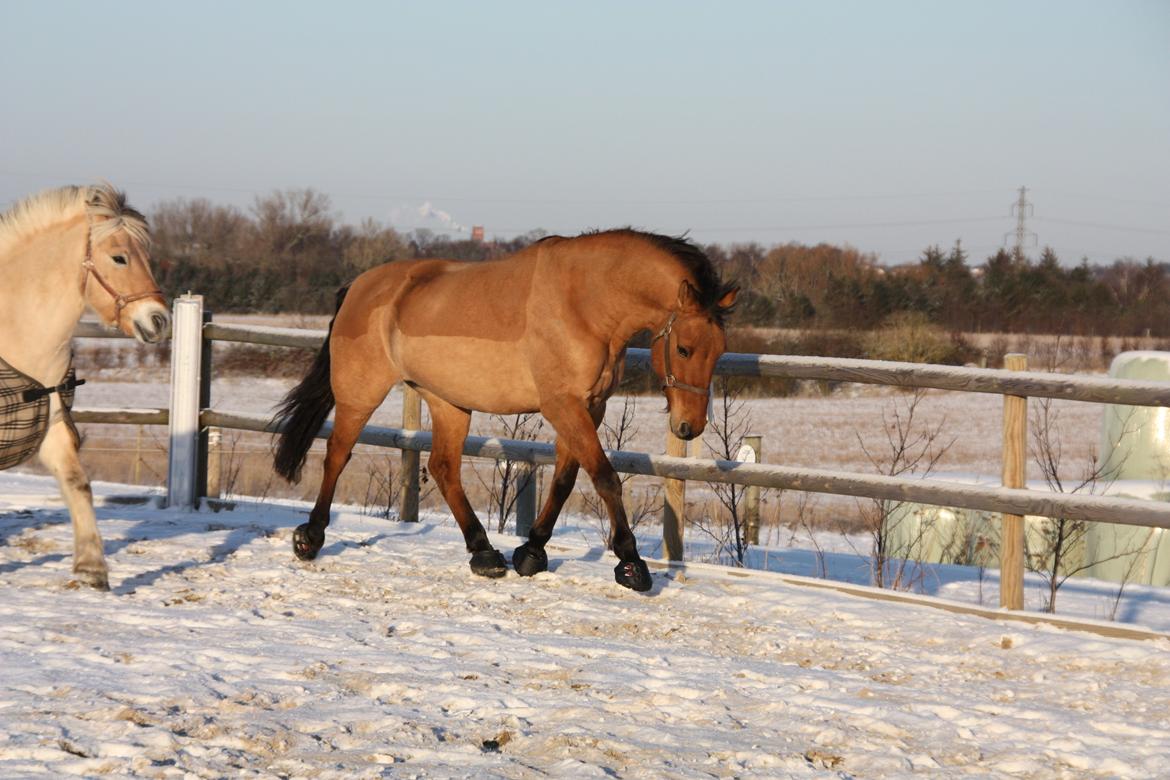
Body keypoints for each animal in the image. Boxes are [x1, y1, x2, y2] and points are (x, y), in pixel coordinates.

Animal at [269, 230, 734, 591]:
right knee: (337, 454)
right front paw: (631, 565)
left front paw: (531, 553)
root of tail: (360, 287)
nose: (689, 427)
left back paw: (484, 553)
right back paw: (310, 538)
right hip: (359, 394)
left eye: (719, 351)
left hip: (448, 401)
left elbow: (564, 479)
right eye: (683, 348)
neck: (583, 302)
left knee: (443, 468)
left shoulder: (589, 406)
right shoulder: (563, 405)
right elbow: (604, 476)